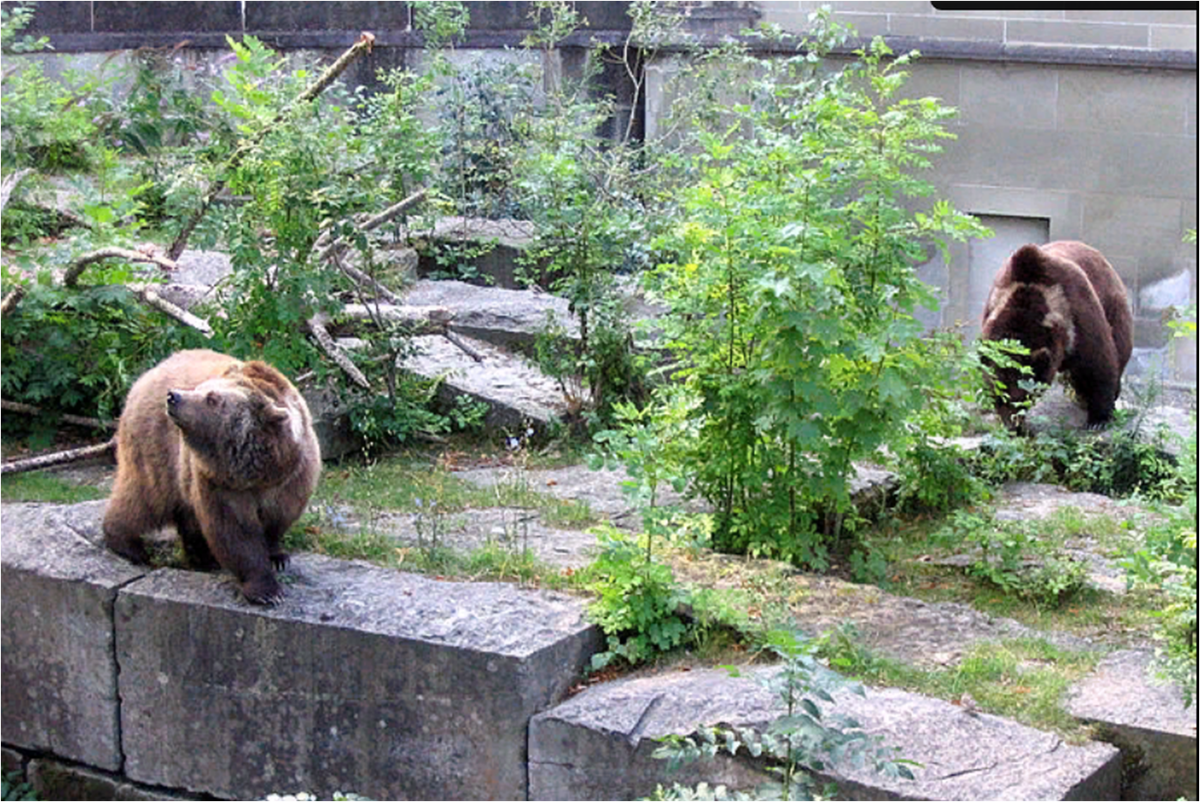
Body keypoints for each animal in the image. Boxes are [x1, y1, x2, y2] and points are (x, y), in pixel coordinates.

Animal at [106, 348, 321, 605]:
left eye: (212, 398)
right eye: (201, 388)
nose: (173, 396)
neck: (257, 471)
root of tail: (148, 373)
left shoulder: (292, 479)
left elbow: (278, 520)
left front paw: (278, 557)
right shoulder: (220, 483)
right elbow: (235, 533)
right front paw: (267, 590)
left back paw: (200, 557)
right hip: (156, 449)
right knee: (144, 497)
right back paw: (129, 545)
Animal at [979, 241, 1128, 432]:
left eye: (1023, 398)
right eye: (998, 397)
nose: (1012, 428)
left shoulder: (1076, 311)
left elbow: (1098, 363)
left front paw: (1098, 419)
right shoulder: (993, 305)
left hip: (1113, 305)